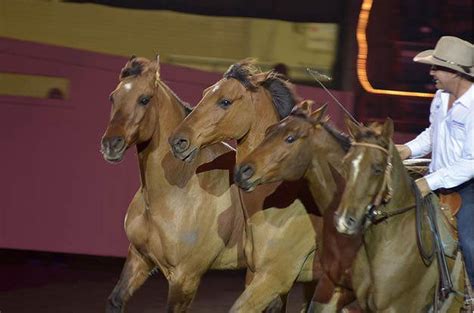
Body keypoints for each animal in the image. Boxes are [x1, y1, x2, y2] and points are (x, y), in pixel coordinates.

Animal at [100, 56, 248, 312]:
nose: (111, 144)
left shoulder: (185, 278)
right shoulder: (140, 258)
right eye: (113, 97)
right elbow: (115, 300)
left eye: (144, 99)